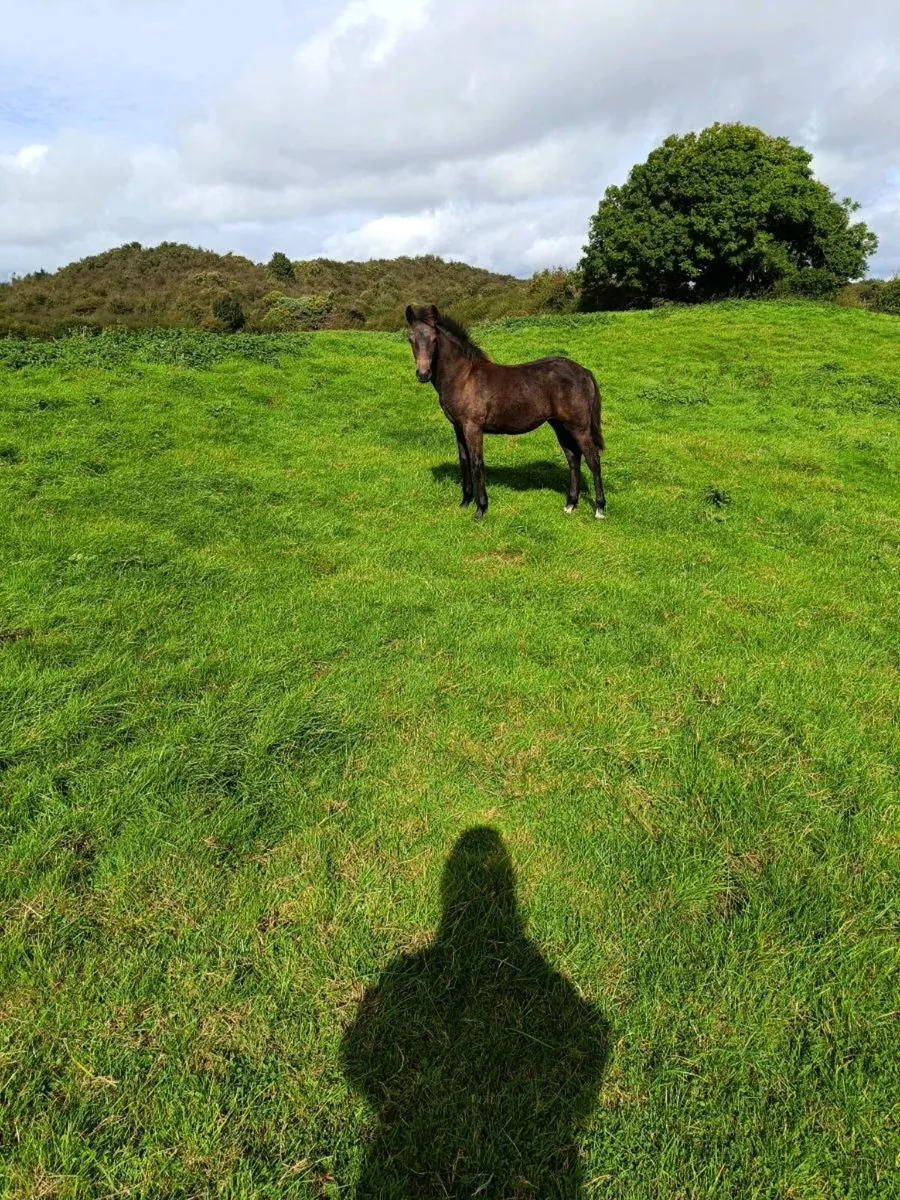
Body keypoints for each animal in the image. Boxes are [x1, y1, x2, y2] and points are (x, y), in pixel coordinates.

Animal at [405, 304, 605, 521]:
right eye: (410, 338)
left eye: (434, 339)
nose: (423, 374)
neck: (464, 377)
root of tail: (584, 372)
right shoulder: (458, 427)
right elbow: (464, 461)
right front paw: (465, 502)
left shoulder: (473, 427)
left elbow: (477, 462)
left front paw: (480, 509)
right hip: (560, 426)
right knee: (573, 458)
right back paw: (570, 504)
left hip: (579, 427)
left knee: (593, 460)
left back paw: (599, 509)